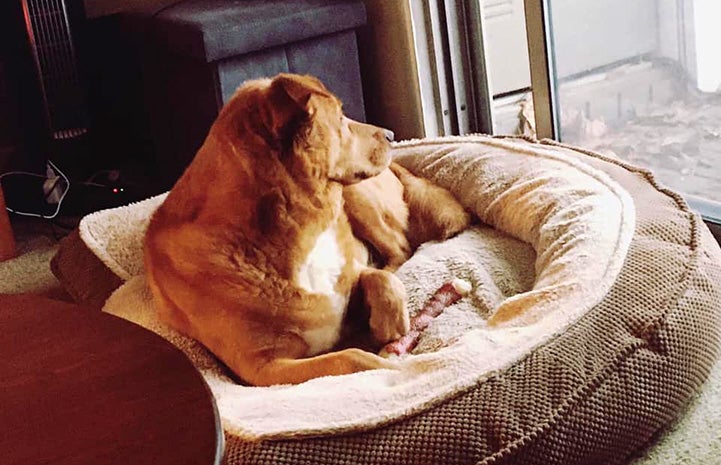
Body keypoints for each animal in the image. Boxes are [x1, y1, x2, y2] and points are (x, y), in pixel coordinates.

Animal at [143, 73, 470, 384]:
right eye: (340, 118)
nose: (391, 134)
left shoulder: (350, 268)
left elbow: (378, 277)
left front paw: (388, 322)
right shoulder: (262, 370)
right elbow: (349, 358)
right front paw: (388, 365)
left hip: (357, 196)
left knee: (400, 250)